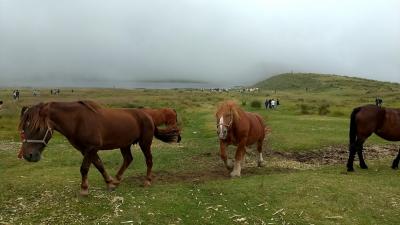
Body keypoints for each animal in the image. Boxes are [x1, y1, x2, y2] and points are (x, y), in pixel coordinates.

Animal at [18, 100, 179, 195]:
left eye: (38, 128)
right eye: (24, 128)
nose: (28, 155)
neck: (78, 121)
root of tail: (148, 116)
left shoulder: (91, 148)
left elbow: (84, 168)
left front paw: (84, 189)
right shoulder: (87, 150)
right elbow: (99, 165)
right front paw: (110, 183)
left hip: (145, 143)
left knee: (149, 160)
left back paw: (147, 180)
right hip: (125, 144)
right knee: (128, 159)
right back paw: (117, 179)